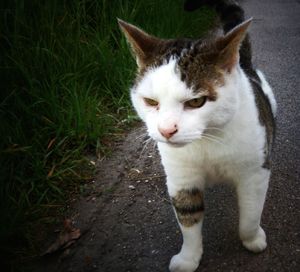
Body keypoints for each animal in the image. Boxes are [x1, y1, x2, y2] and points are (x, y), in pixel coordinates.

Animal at [118, 0, 276, 272]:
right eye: (150, 102)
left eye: (196, 102)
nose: (166, 130)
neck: (206, 140)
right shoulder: (182, 178)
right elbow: (188, 217)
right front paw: (189, 258)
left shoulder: (255, 172)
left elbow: (250, 213)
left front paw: (253, 239)